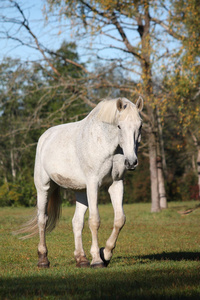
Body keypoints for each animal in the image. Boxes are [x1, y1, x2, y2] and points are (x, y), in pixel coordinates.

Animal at [16, 97, 142, 268]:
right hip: (44, 187)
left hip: (81, 191)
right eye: (119, 126)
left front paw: (106, 253)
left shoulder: (116, 184)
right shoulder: (93, 184)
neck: (106, 145)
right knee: (42, 219)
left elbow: (119, 220)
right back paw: (43, 259)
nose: (131, 162)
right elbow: (94, 221)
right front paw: (97, 259)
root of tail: (45, 137)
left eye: (140, 125)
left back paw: (81, 259)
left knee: (77, 222)